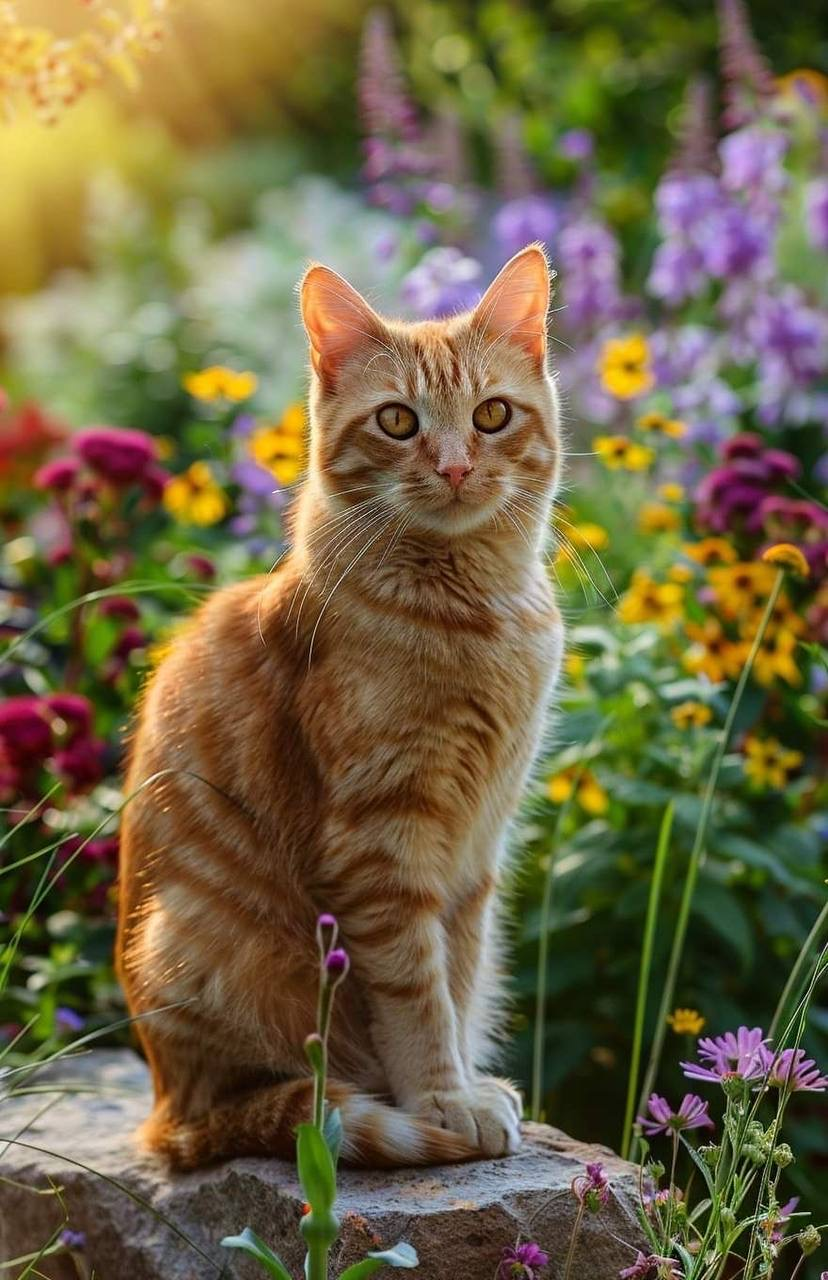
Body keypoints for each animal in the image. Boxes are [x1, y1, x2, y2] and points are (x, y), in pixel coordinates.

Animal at [115, 241, 563, 1172]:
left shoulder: (476, 848)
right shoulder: (382, 841)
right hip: (200, 945)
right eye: (397, 422)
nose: (456, 465)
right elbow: (417, 992)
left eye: (493, 415)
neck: (478, 612)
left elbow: (460, 976)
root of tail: (161, 1109)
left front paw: (465, 1083)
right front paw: (442, 1100)